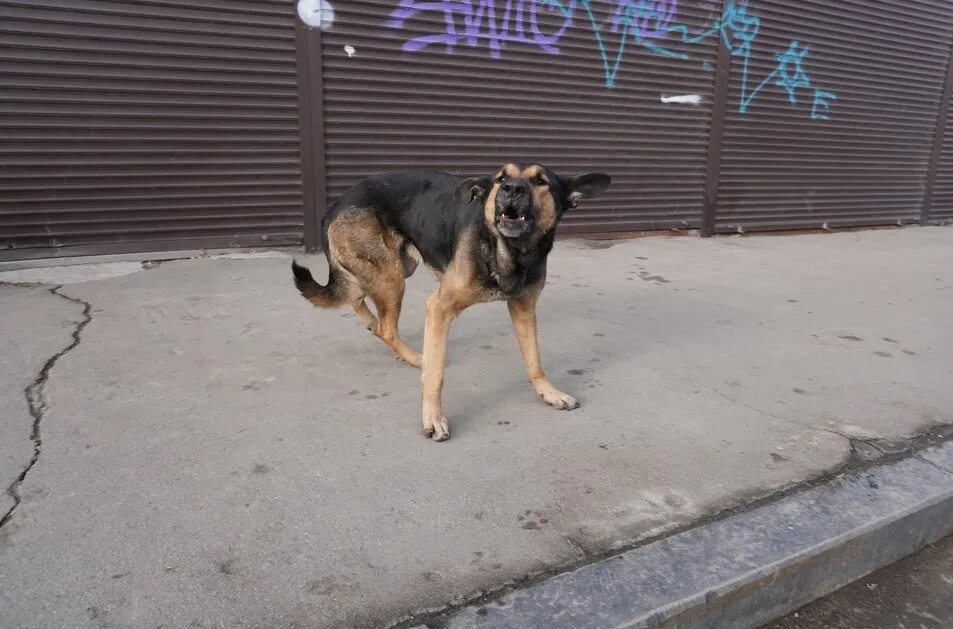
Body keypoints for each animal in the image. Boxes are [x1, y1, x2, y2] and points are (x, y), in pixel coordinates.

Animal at [290, 159, 612, 440]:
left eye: (540, 181)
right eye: (501, 179)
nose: (512, 189)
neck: (509, 251)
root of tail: (335, 205)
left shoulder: (523, 309)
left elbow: (534, 361)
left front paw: (549, 392)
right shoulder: (439, 309)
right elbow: (436, 375)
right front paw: (432, 417)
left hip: (399, 267)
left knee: (358, 297)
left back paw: (373, 323)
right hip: (391, 276)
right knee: (385, 325)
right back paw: (413, 356)